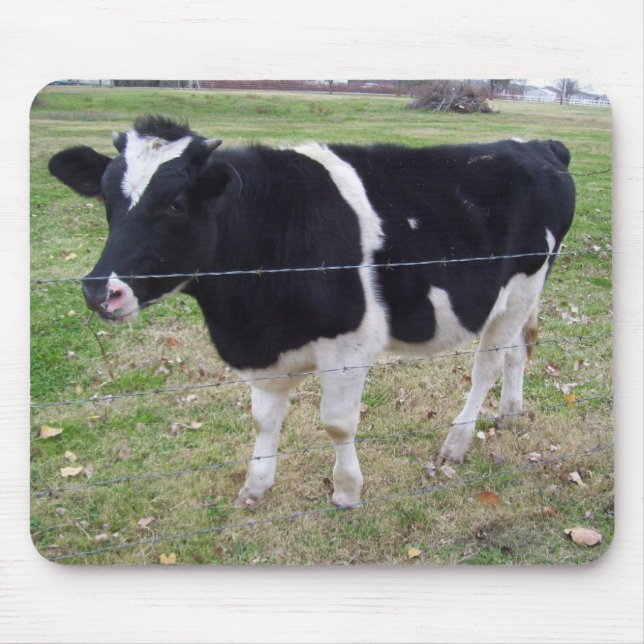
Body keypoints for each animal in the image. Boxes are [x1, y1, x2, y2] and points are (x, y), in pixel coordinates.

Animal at [48, 115, 575, 508]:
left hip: (520, 286)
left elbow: (337, 424)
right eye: (107, 201)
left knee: (487, 364)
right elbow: (264, 420)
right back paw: (509, 413)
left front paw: (346, 491)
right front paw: (255, 487)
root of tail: (539, 145)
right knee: (519, 349)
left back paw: (456, 445)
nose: (101, 291)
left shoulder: (349, 346)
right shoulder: (263, 349)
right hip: (527, 292)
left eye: (176, 203)